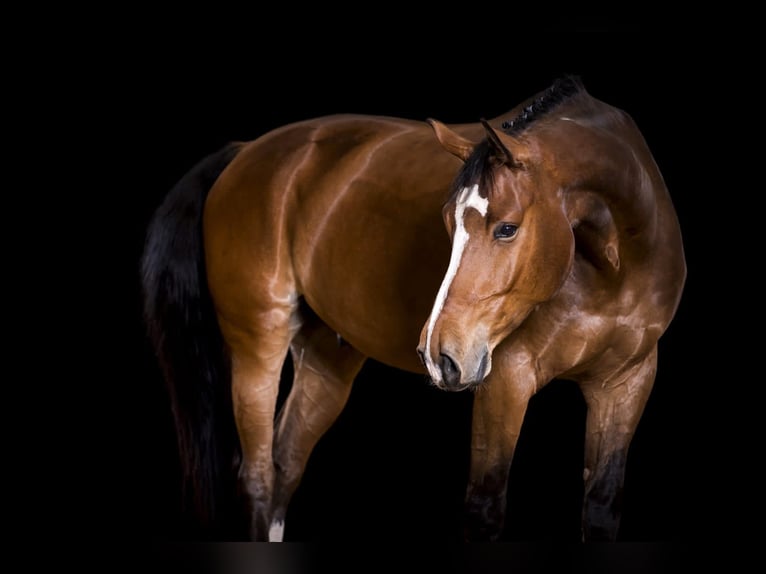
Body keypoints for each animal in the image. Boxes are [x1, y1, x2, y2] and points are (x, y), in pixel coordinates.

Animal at [142, 76, 688, 544]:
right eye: (447, 222)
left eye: (507, 228)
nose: (437, 354)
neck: (615, 267)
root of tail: (246, 151)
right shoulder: (506, 380)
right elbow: (484, 507)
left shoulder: (627, 383)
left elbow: (601, 505)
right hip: (259, 347)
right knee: (256, 478)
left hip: (326, 360)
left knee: (284, 466)